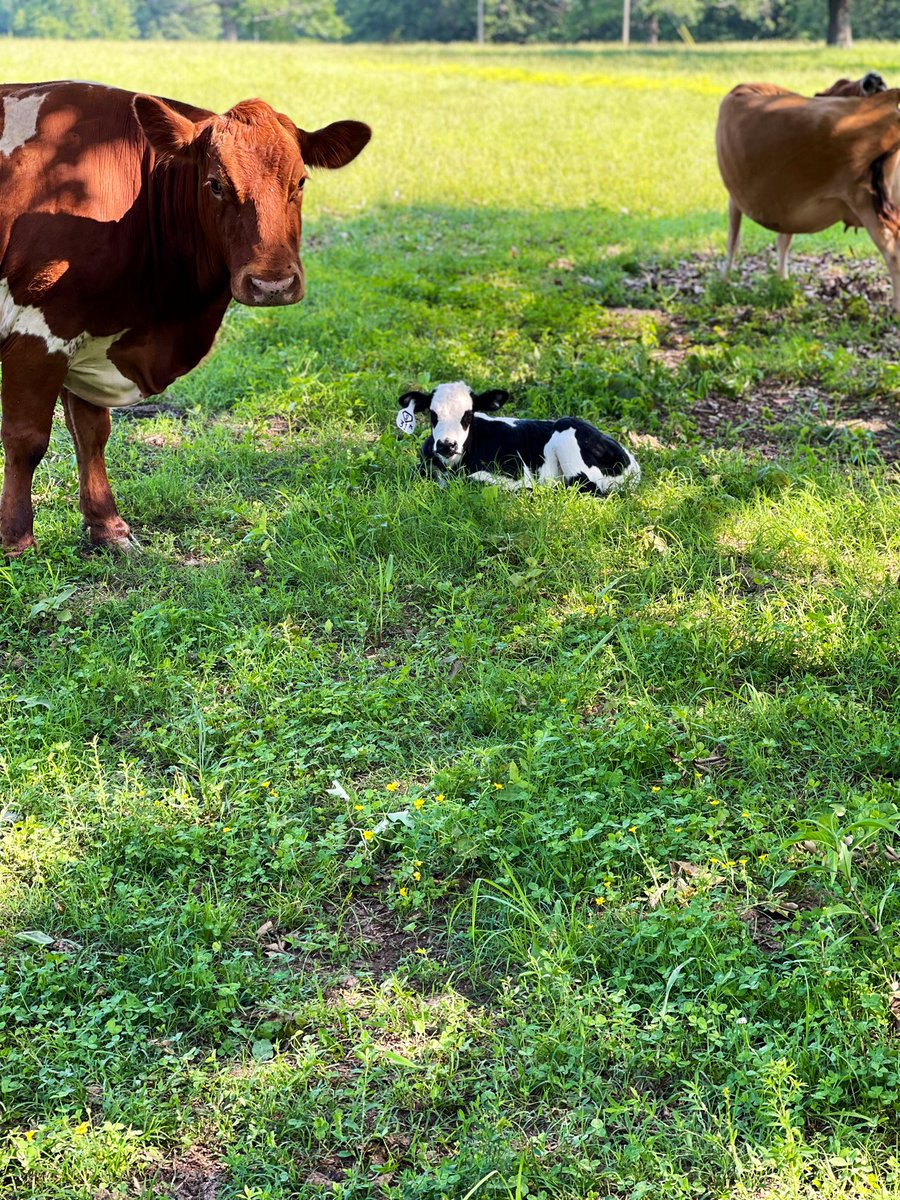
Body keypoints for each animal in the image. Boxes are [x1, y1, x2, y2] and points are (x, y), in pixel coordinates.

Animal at [0, 81, 371, 555]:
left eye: (301, 181)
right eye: (215, 184)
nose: (272, 284)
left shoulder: (90, 327)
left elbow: (91, 433)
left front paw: (108, 527)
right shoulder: (39, 329)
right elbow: (26, 438)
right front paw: (17, 541)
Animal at [398, 382, 640, 494]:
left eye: (468, 415)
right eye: (433, 414)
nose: (447, 445)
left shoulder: (517, 471)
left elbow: (473, 479)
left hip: (568, 431)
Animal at [716, 76, 900, 300]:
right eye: (843, 83)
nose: (873, 79)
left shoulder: (734, 196)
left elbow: (733, 238)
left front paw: (724, 281)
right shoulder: (785, 204)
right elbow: (784, 238)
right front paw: (782, 280)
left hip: (863, 199)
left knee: (893, 254)